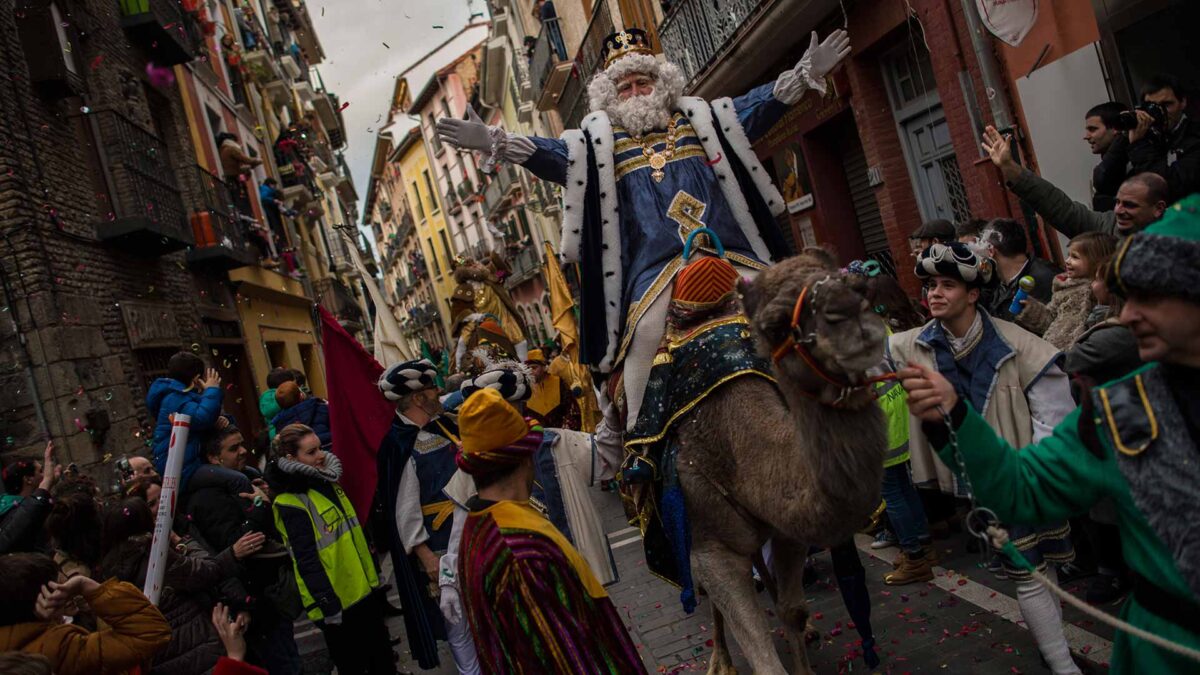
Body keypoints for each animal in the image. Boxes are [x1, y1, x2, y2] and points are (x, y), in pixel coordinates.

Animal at [676, 249, 892, 667]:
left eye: (859, 287)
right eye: (775, 325)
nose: (848, 315)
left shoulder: (789, 526)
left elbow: (792, 610)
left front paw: (802, 633)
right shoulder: (709, 546)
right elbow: (759, 650)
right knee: (710, 599)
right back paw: (720, 660)